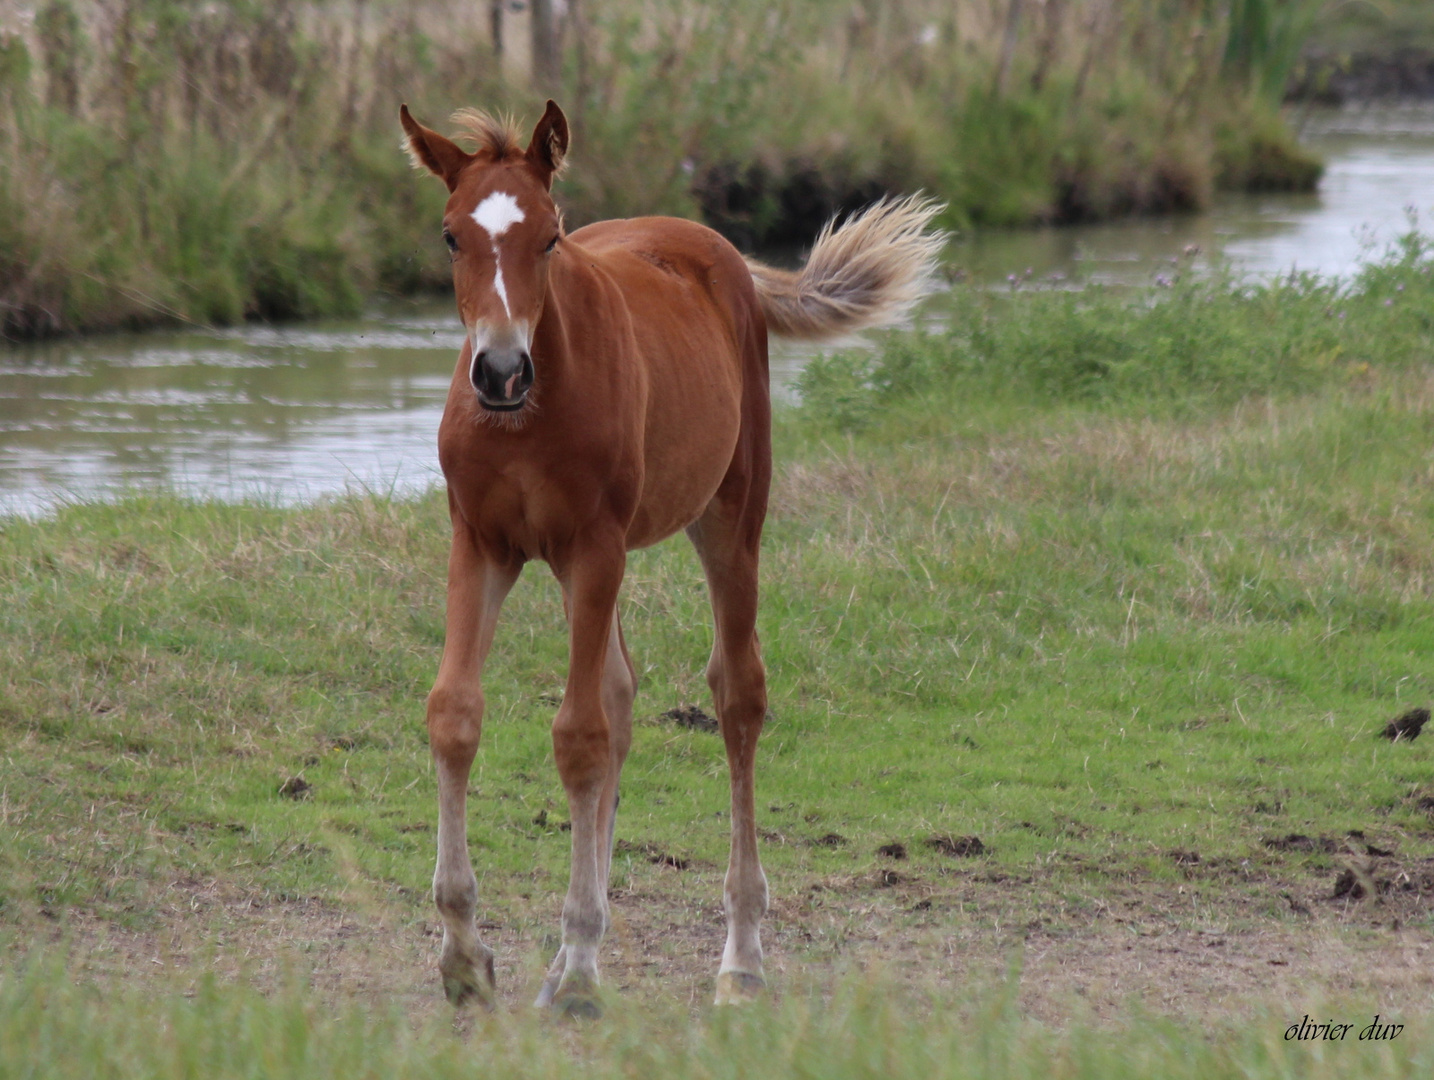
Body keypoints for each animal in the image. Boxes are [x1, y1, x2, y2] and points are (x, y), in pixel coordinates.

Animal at [398, 101, 946, 1009]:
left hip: (728, 516)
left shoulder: (594, 545)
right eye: (449, 236)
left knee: (736, 694)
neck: (527, 418)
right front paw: (467, 959)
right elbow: (455, 714)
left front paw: (581, 967)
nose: (501, 371)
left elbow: (578, 734)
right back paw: (569, 955)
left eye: (550, 236)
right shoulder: (481, 541)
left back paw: (740, 958)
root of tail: (717, 249)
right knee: (622, 693)